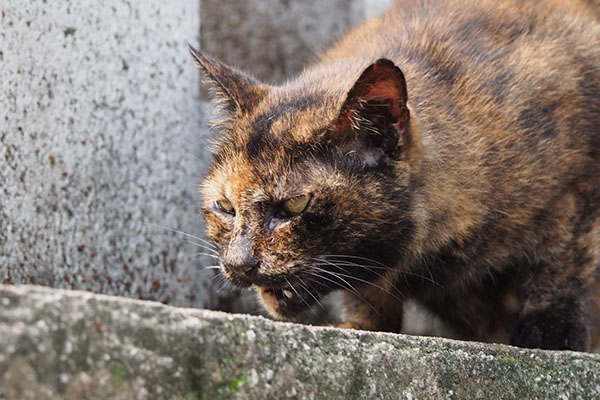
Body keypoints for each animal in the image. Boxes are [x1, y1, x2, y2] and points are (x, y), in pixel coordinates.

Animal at [191, 0, 600, 350]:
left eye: (295, 205)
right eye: (225, 207)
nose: (238, 264)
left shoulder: (578, 189)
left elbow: (565, 253)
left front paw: (551, 329)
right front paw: (362, 324)